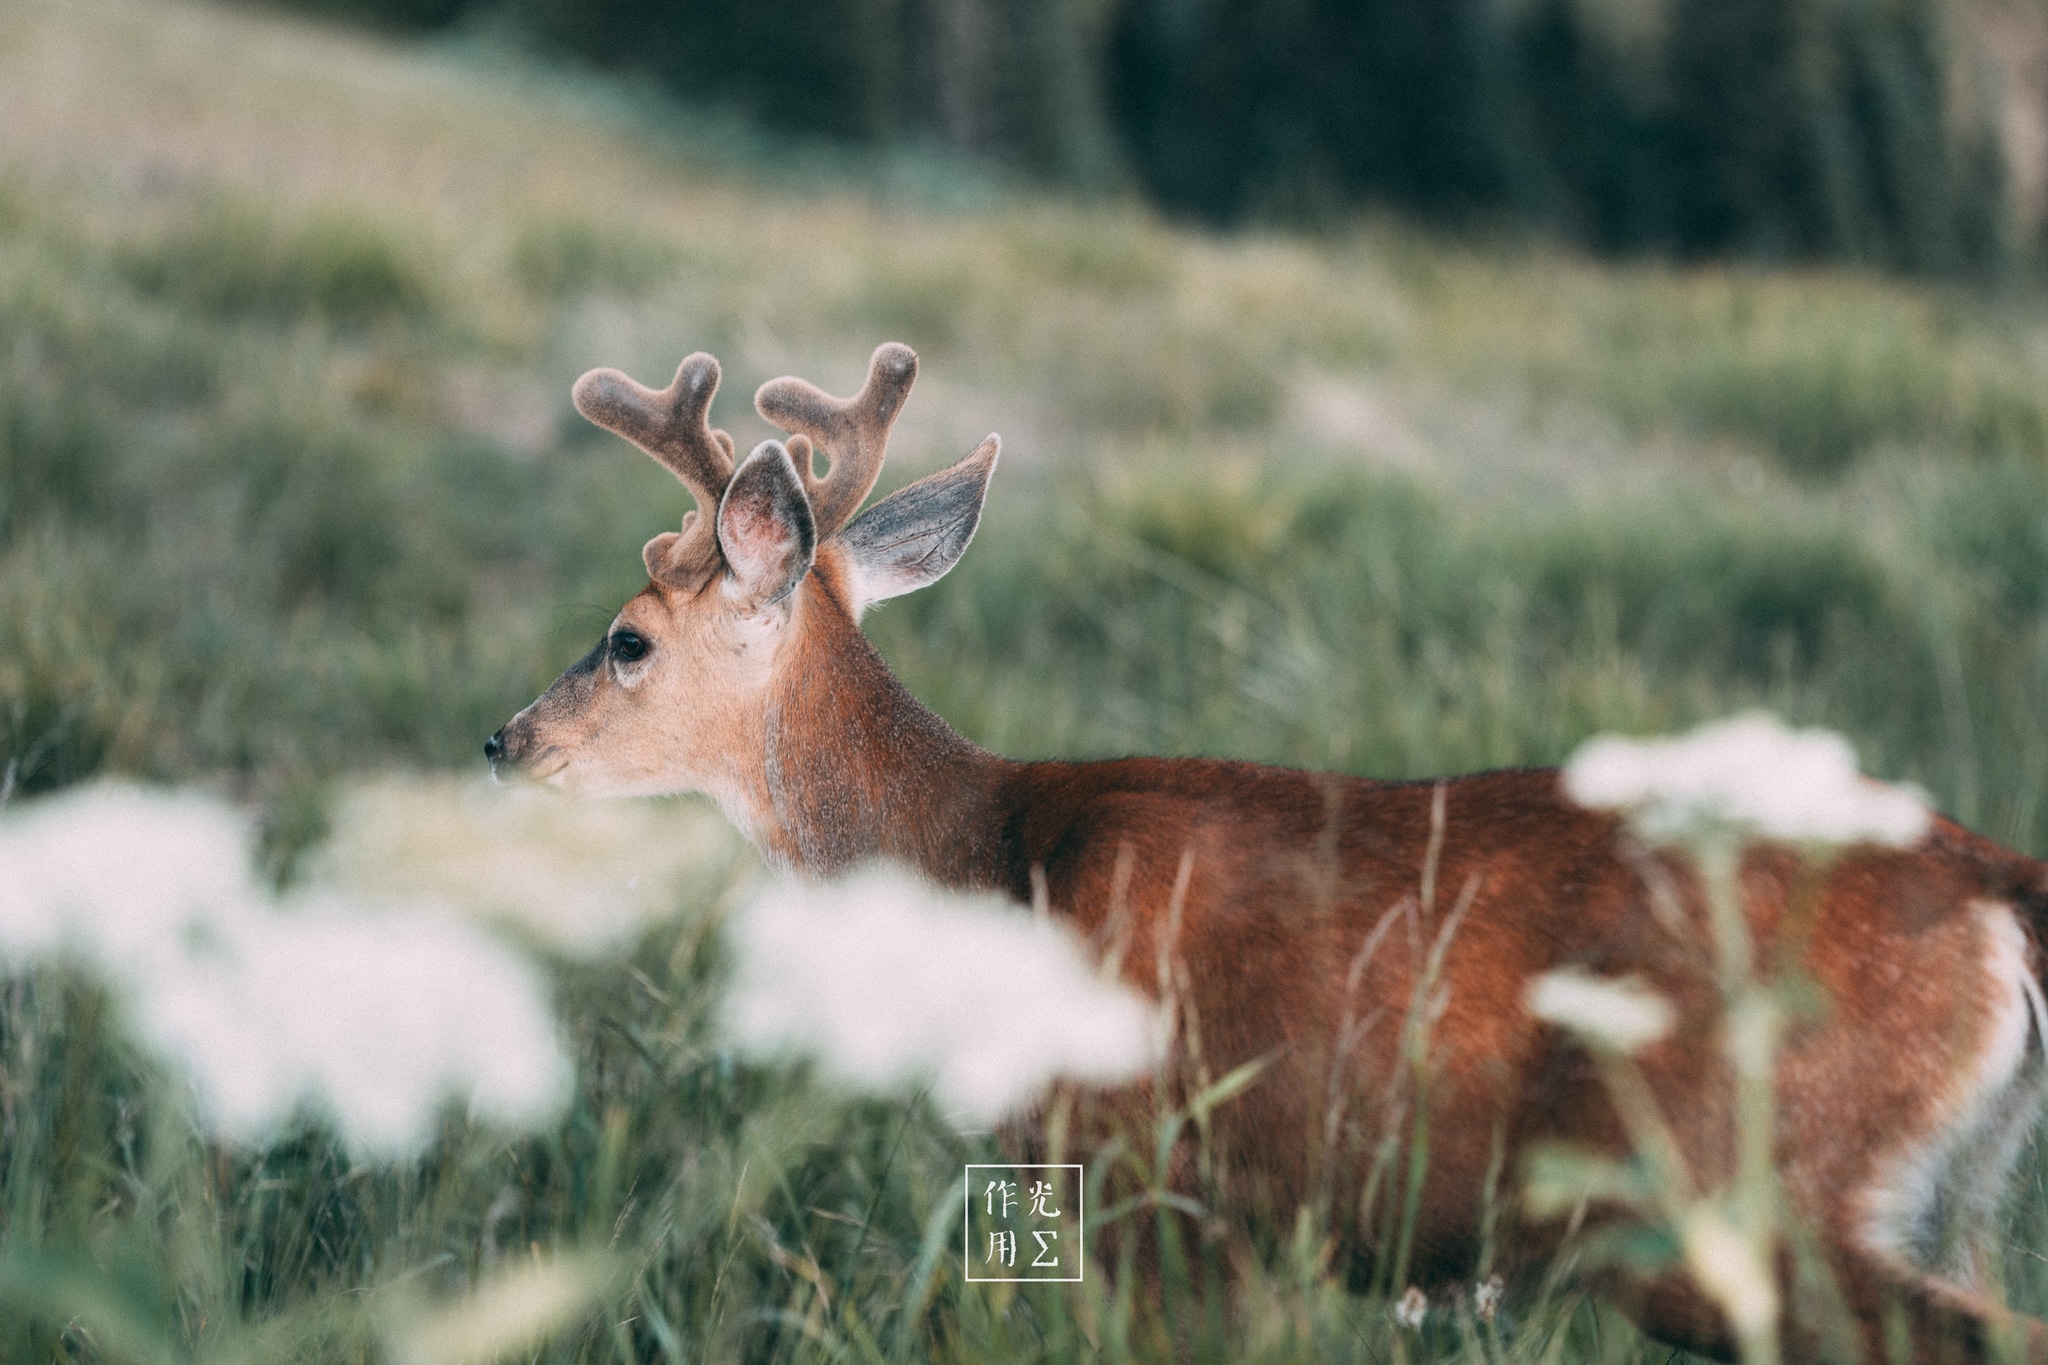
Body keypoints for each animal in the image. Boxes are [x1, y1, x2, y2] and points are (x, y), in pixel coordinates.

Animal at [487, 342, 2048, 1363]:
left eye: (626, 639)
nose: (503, 741)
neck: (983, 864)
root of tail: (1996, 889)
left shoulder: (1147, 1179)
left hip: (1721, 1184)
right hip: (1938, 1193)